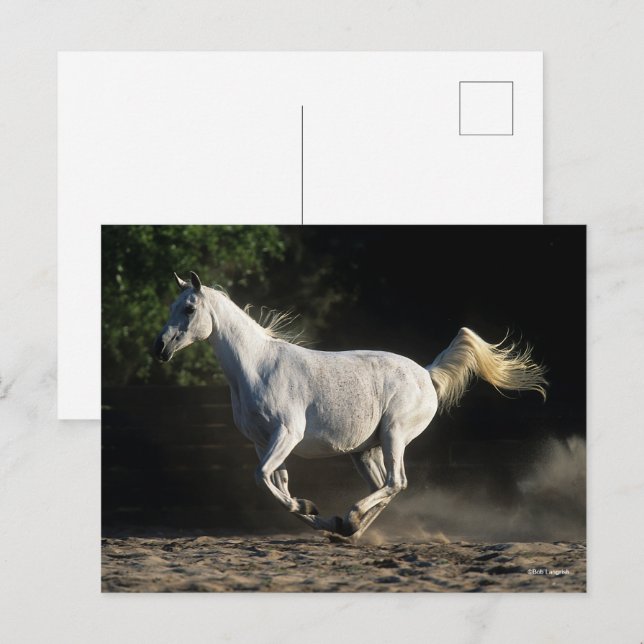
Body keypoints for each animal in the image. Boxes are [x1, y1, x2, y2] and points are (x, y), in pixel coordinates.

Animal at [153, 271, 547, 541]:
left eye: (188, 308)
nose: (160, 348)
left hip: (393, 434)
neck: (258, 366)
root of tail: (426, 373)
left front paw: (311, 509)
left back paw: (352, 518)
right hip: (364, 451)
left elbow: (263, 478)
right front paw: (319, 515)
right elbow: (278, 485)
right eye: (172, 306)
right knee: (386, 486)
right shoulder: (263, 441)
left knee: (396, 481)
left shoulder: (287, 434)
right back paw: (349, 528)